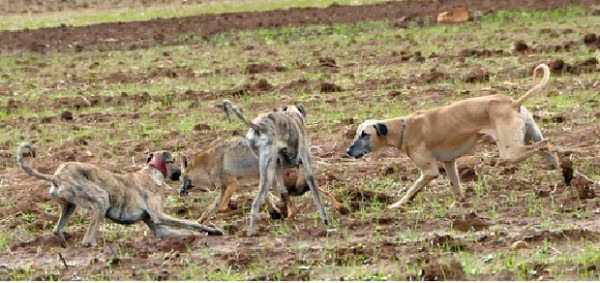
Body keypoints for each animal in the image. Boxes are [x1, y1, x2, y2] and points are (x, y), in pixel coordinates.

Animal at [16, 143, 223, 247]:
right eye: (173, 161)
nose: (180, 175)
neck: (151, 172)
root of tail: (56, 177)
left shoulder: (157, 226)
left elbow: (181, 230)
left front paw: (197, 236)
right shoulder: (159, 215)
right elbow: (191, 223)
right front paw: (211, 230)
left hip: (69, 206)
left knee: (57, 230)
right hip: (101, 199)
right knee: (86, 240)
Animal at [344, 65, 560, 211]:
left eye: (365, 134)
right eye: (356, 133)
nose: (348, 151)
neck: (404, 127)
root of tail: (513, 103)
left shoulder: (429, 171)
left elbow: (412, 189)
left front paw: (397, 205)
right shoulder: (449, 163)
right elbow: (455, 187)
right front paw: (458, 206)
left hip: (510, 152)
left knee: (547, 144)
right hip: (529, 136)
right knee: (545, 147)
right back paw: (562, 173)